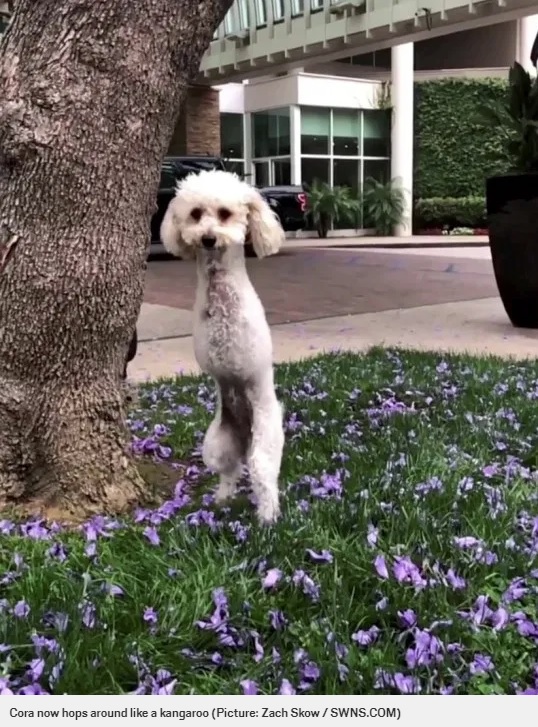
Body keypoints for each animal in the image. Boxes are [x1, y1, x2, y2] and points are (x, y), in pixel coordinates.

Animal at [159, 171, 284, 524]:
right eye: (195, 213)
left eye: (226, 213)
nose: (208, 238)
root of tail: (244, 435)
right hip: (217, 443)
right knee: (230, 471)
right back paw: (221, 500)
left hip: (266, 435)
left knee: (261, 470)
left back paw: (268, 515)